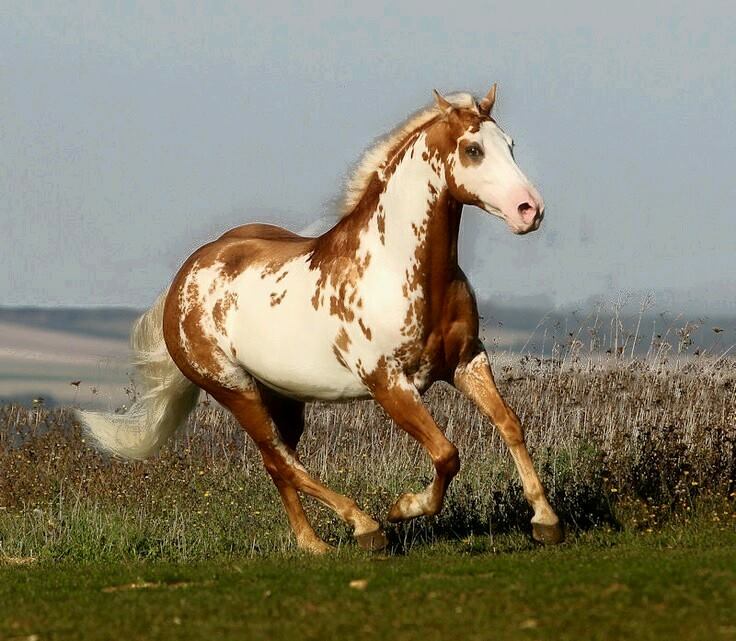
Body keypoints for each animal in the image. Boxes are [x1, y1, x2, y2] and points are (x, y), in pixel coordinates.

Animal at [78, 84, 563, 553]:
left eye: (510, 145)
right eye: (473, 150)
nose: (530, 210)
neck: (398, 268)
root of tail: (184, 278)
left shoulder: (466, 362)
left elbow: (510, 425)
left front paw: (545, 521)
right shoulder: (389, 384)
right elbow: (447, 453)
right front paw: (404, 508)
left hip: (283, 397)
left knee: (280, 463)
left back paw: (312, 543)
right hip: (236, 391)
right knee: (280, 460)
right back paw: (364, 528)